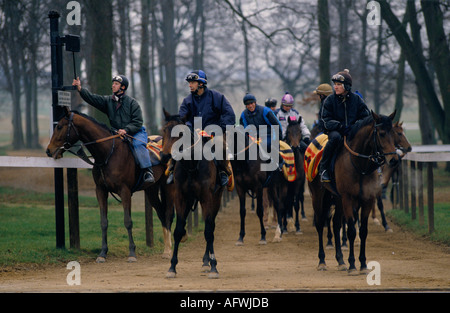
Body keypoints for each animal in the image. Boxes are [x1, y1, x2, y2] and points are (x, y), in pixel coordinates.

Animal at [45, 108, 172, 262]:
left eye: (59, 126)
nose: (49, 150)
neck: (108, 154)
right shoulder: (100, 190)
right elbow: (104, 222)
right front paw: (102, 253)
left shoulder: (125, 191)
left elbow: (128, 221)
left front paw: (132, 252)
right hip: (151, 190)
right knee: (161, 213)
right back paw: (166, 249)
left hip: (167, 186)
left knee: (167, 214)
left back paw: (169, 250)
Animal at [161, 109, 227, 278]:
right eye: (163, 130)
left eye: (181, 133)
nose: (165, 156)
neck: (192, 165)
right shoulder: (180, 197)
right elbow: (178, 229)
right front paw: (172, 267)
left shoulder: (207, 197)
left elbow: (209, 230)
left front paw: (214, 266)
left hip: (217, 198)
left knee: (211, 225)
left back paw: (207, 261)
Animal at [308, 111, 400, 272]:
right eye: (382, 133)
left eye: (394, 134)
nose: (394, 159)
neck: (360, 165)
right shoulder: (348, 198)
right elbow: (351, 230)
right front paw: (352, 264)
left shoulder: (367, 199)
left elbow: (363, 231)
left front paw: (362, 264)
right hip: (318, 197)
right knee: (320, 224)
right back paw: (322, 261)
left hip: (337, 199)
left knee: (335, 223)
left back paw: (340, 261)